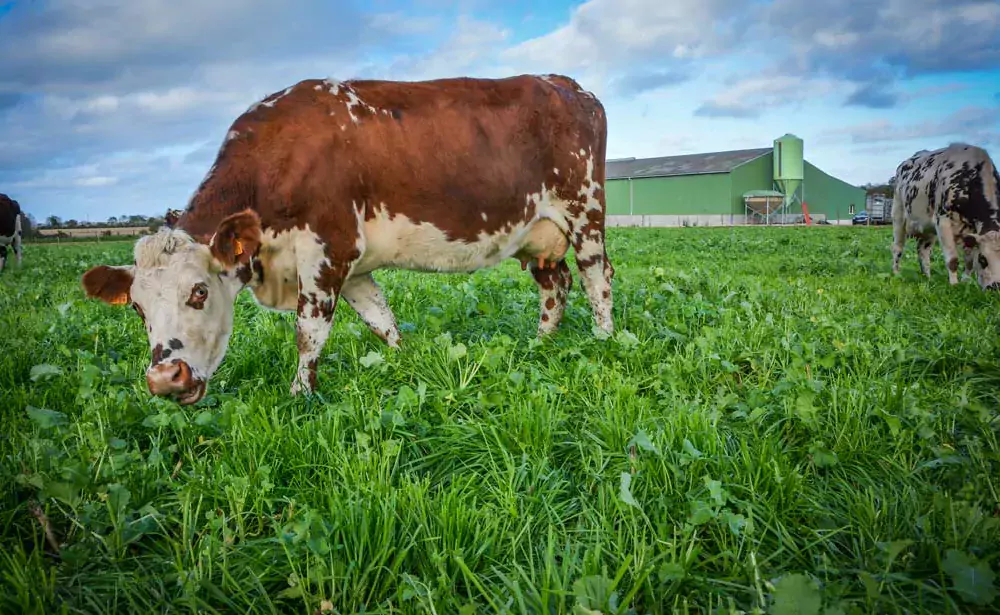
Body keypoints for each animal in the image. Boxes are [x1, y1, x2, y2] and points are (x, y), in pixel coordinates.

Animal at [82, 74, 612, 406]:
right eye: (137, 308)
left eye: (199, 291)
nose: (163, 379)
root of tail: (564, 84)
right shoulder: (354, 269)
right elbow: (382, 321)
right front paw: (405, 365)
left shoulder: (328, 249)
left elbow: (308, 331)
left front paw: (300, 396)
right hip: (538, 234)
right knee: (556, 284)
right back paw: (541, 345)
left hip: (584, 209)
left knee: (596, 278)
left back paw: (604, 341)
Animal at [892, 143, 1000, 290]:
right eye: (983, 258)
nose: (995, 286)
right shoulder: (943, 220)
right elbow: (953, 260)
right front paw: (954, 286)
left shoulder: (971, 231)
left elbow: (969, 261)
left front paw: (965, 283)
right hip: (898, 214)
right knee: (897, 247)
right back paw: (896, 273)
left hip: (927, 227)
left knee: (923, 250)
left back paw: (928, 278)